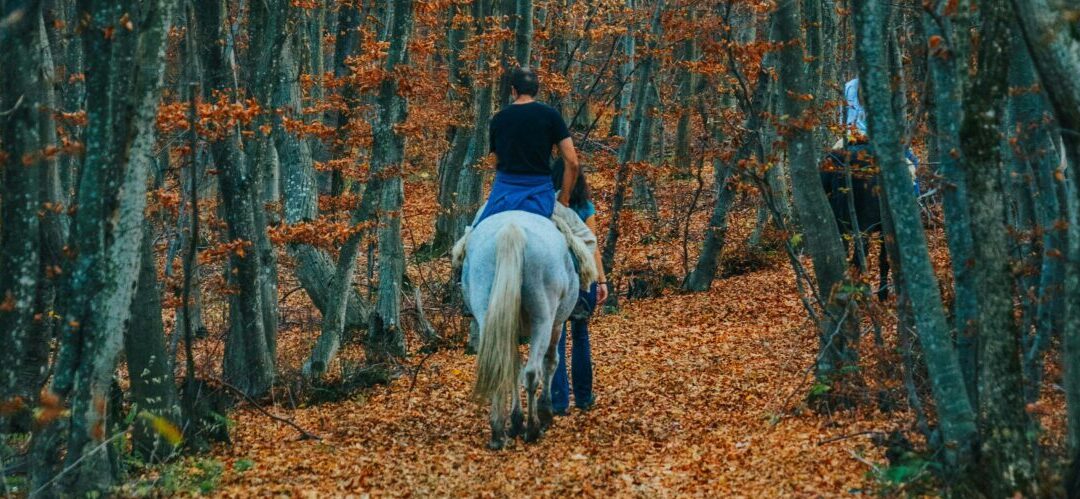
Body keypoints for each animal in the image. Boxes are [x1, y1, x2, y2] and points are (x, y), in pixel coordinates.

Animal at [464, 209, 583, 449]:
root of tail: (512, 229)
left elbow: (513, 368)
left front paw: (515, 420)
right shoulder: (556, 324)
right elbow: (550, 362)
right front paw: (544, 413)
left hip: (487, 312)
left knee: (502, 366)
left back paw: (498, 432)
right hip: (543, 320)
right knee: (532, 372)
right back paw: (533, 428)